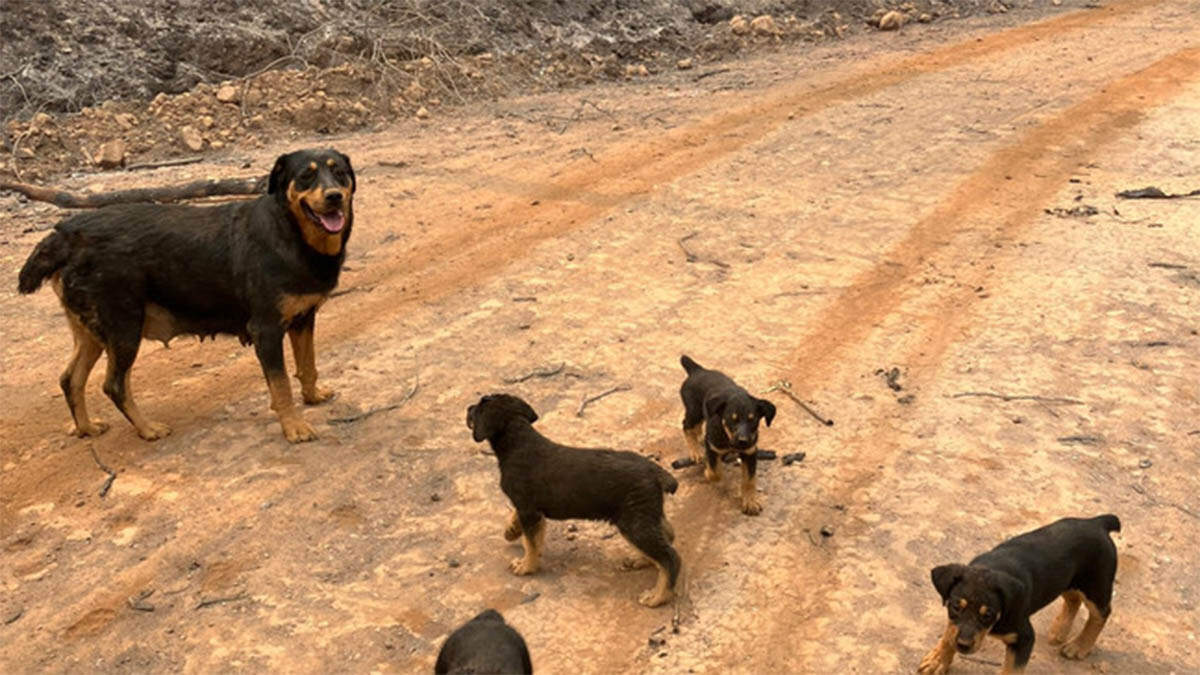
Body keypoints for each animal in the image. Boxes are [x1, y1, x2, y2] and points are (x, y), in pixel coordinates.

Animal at [17, 147, 355, 441]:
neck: (289, 232)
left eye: (338, 172)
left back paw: (86, 428)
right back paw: (147, 429)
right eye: (306, 176)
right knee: (114, 385)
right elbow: (281, 385)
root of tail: (66, 234)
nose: (334, 196)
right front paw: (294, 427)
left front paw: (313, 396)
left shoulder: (303, 319)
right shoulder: (267, 330)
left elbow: (308, 366)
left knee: (70, 379)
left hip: (92, 331)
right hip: (124, 327)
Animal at [463, 391, 681, 607]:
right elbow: (529, 535)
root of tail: (656, 473)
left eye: (479, 406)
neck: (517, 441)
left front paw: (527, 566)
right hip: (644, 515)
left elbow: (531, 544)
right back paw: (641, 560)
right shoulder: (531, 510)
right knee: (668, 535)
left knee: (670, 557)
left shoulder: (528, 508)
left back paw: (658, 596)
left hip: (633, 522)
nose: (467, 408)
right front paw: (511, 531)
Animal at [676, 355, 777, 511]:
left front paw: (750, 501)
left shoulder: (750, 452)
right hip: (694, 410)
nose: (743, 441)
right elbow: (715, 472)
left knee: (697, 427)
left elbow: (750, 480)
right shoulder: (712, 447)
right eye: (732, 420)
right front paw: (708, 472)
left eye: (753, 420)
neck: (728, 438)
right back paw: (695, 451)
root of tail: (697, 370)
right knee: (686, 426)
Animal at [916, 511, 1123, 667]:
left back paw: (1079, 646)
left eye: (987, 614)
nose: (963, 646)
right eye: (955, 607)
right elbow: (950, 631)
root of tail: (1097, 522)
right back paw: (1059, 631)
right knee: (1073, 599)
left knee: (1101, 613)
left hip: (1096, 585)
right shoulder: (954, 620)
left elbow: (1011, 670)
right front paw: (937, 661)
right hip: (1068, 580)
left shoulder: (1024, 637)